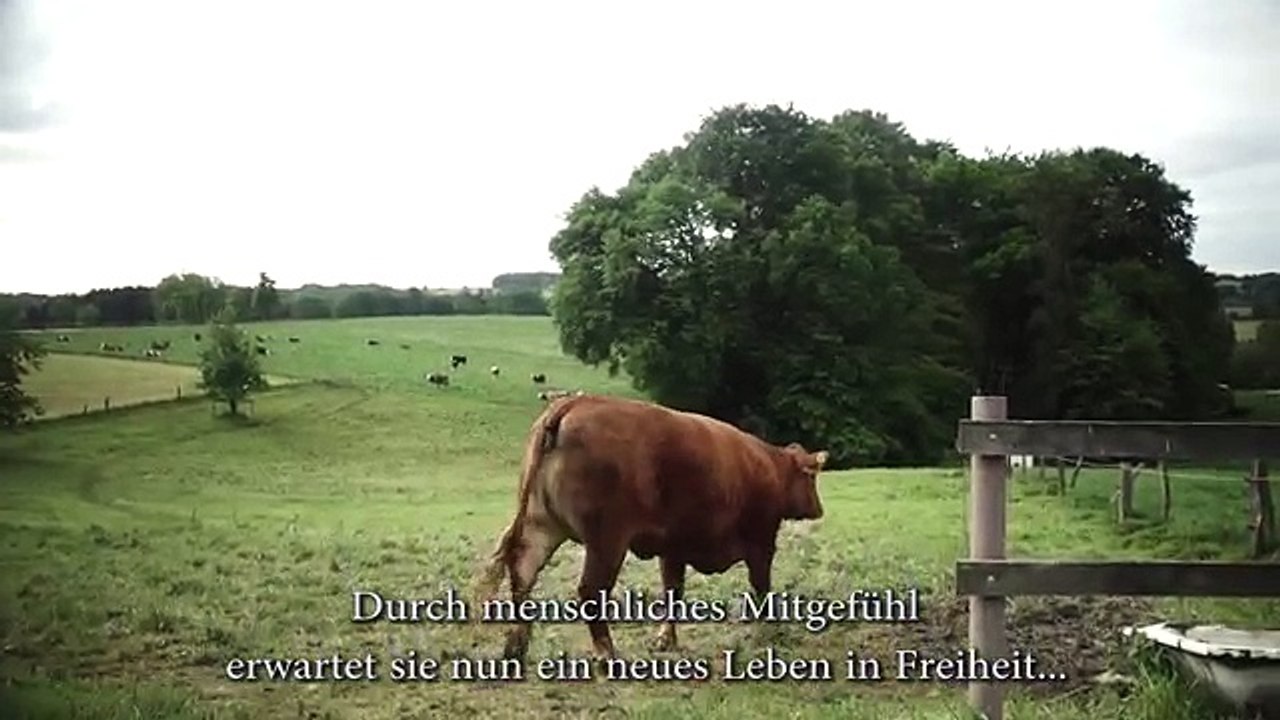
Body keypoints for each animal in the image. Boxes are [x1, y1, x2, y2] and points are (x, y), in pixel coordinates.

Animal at [475, 394, 829, 662]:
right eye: (811, 478)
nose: (819, 508)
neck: (767, 466)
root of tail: (574, 403)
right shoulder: (761, 541)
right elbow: (761, 588)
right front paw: (769, 629)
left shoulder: (673, 547)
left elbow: (673, 591)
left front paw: (665, 639)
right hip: (607, 540)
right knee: (590, 590)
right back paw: (607, 654)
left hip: (543, 526)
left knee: (523, 572)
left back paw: (517, 645)